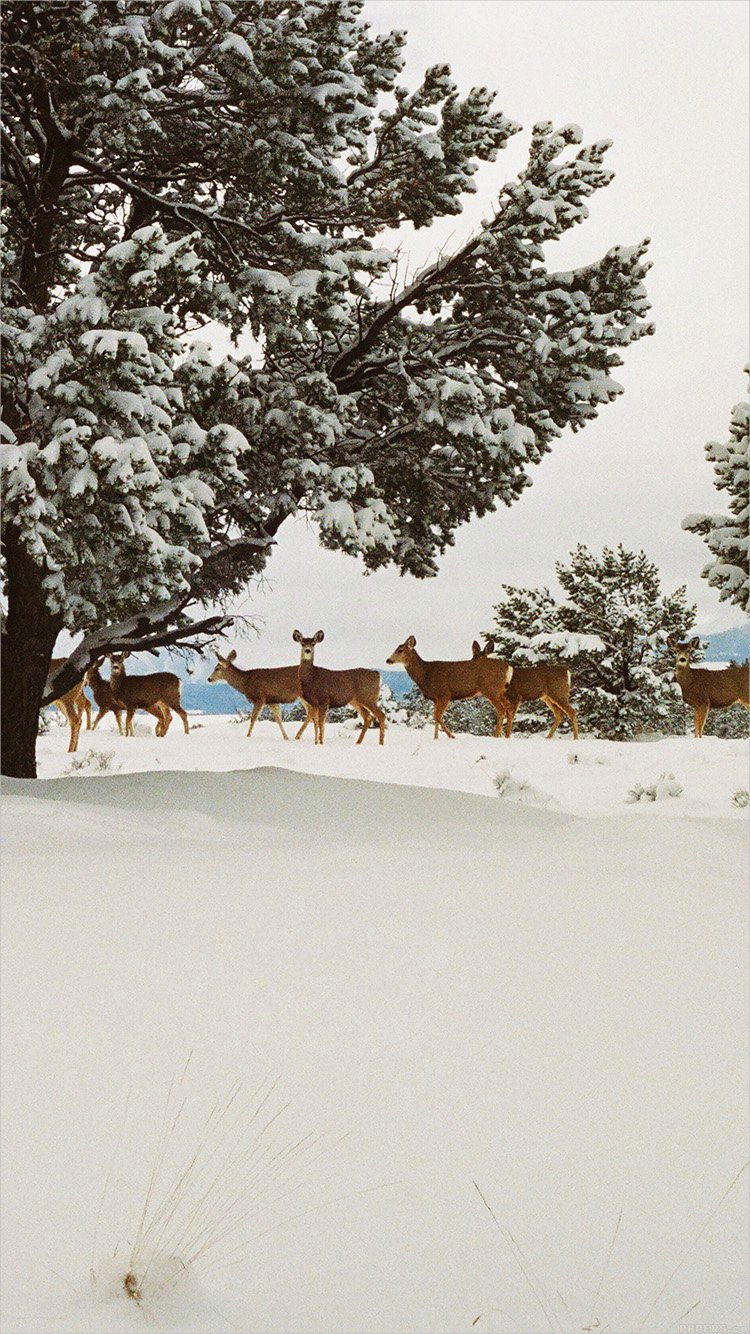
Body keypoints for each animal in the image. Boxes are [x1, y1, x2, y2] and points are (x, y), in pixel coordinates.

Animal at [384, 634, 512, 741]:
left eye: (400, 650)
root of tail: (508, 668)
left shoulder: (444, 694)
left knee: (501, 710)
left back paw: (495, 736)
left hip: (491, 689)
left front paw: (452, 736)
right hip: (501, 691)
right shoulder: (436, 698)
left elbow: (437, 716)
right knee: (509, 708)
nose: (388, 660)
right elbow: (435, 717)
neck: (425, 674)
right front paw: (435, 738)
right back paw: (506, 736)